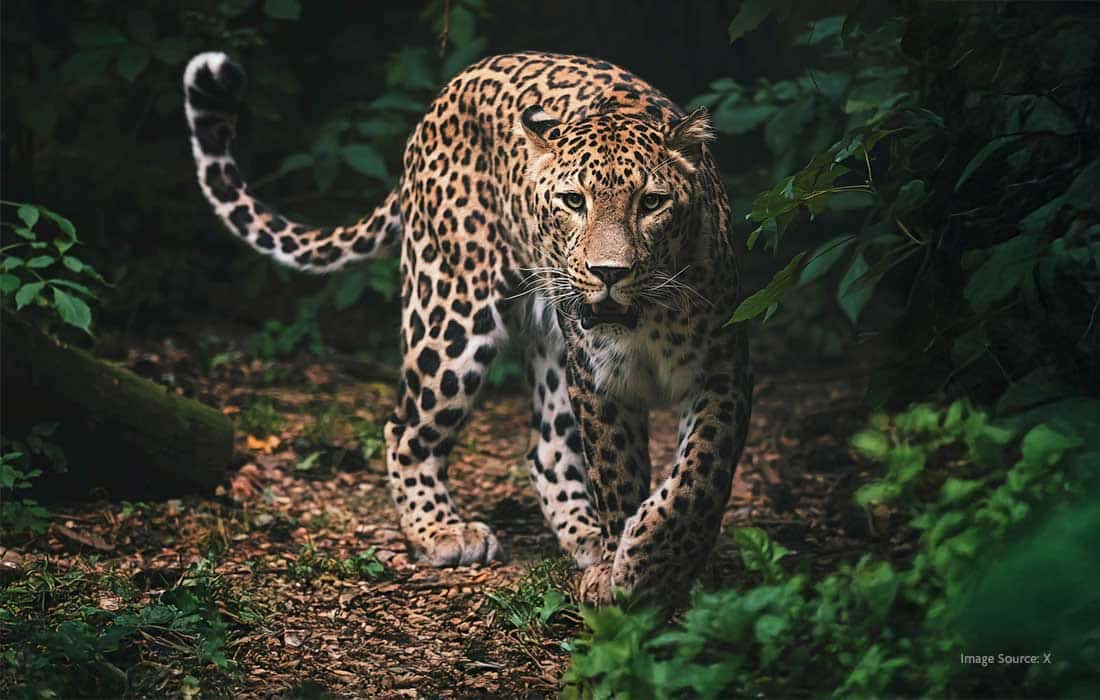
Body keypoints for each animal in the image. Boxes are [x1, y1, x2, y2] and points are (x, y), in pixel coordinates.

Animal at [183, 50, 752, 605]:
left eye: (652, 202)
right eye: (574, 201)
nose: (608, 273)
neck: (646, 318)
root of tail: (449, 90)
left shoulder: (723, 370)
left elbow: (699, 477)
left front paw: (650, 562)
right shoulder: (598, 382)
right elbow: (618, 476)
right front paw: (627, 570)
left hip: (548, 344)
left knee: (546, 448)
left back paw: (585, 538)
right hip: (451, 314)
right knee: (405, 428)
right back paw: (443, 531)